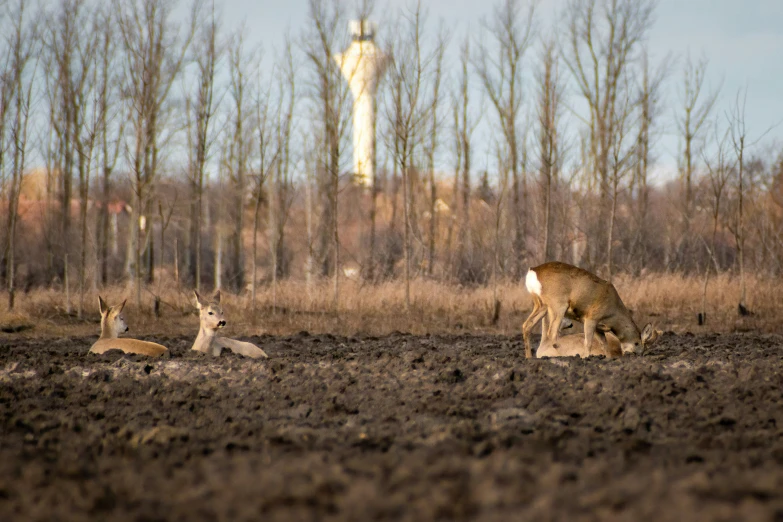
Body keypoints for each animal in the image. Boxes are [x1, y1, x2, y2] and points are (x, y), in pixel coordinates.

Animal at [524, 260, 660, 358]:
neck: (614, 313)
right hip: (558, 304)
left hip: (541, 304)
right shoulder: (591, 317)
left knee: (527, 325)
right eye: (637, 343)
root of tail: (533, 271)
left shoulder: (599, 327)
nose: (636, 355)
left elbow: (604, 345)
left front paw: (608, 358)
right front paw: (586, 358)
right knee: (552, 332)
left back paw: (529, 357)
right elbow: (588, 342)